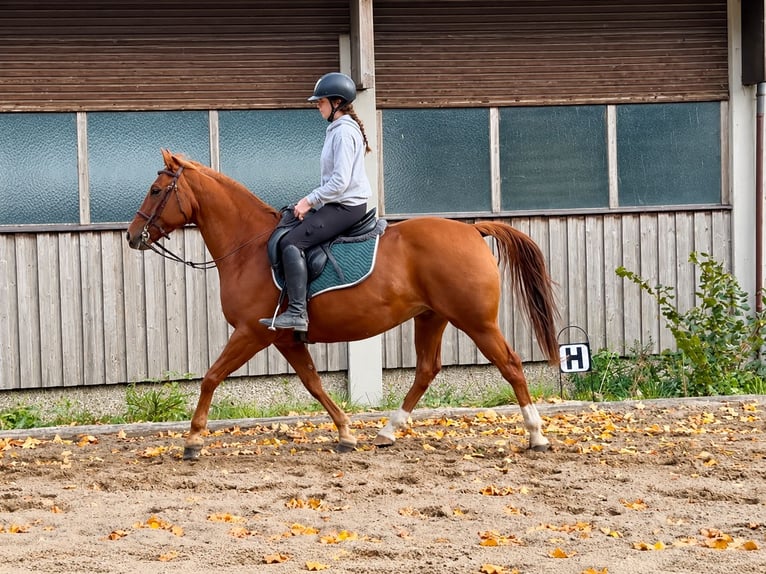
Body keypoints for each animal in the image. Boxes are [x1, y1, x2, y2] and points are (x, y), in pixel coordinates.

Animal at [126, 149, 560, 460]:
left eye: (155, 190)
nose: (132, 236)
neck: (247, 248)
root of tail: (473, 230)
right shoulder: (284, 339)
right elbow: (314, 384)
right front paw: (346, 433)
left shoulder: (252, 332)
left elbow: (211, 377)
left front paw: (193, 440)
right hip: (431, 317)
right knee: (426, 370)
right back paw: (387, 431)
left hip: (476, 321)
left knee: (511, 364)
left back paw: (536, 435)